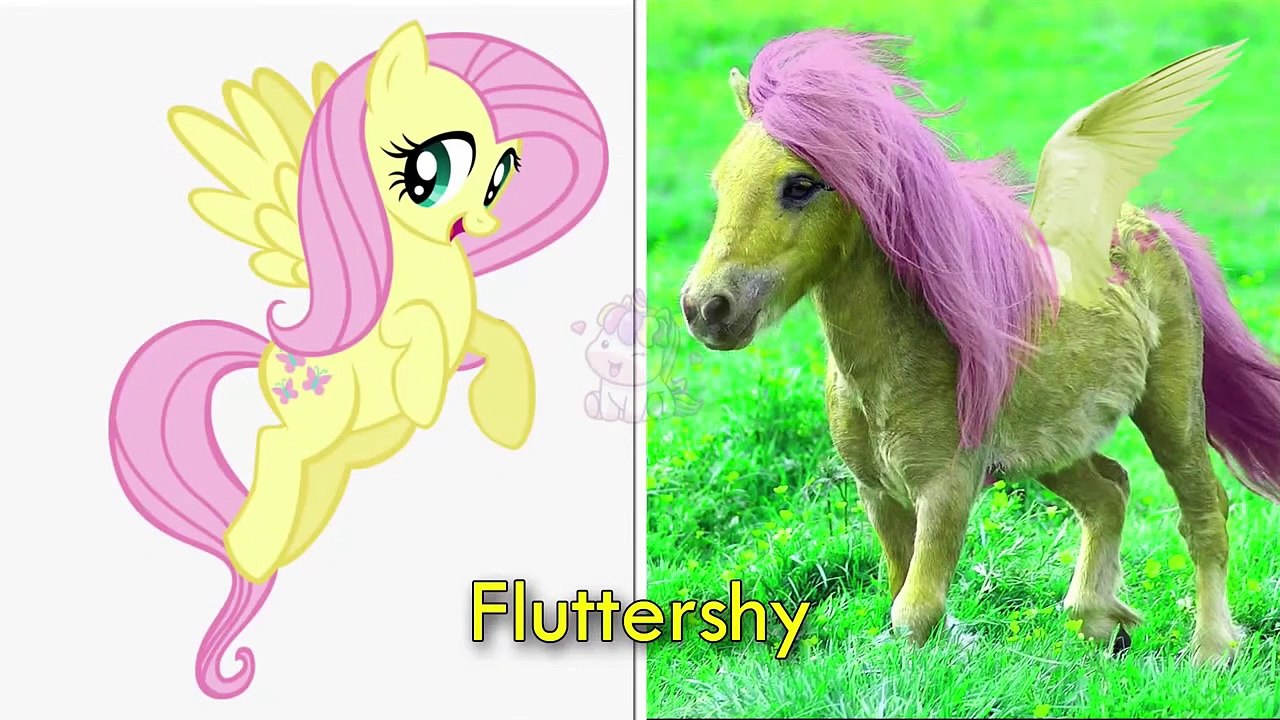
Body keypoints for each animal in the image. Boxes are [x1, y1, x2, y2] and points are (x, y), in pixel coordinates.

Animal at [680, 29, 1278, 667]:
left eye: (800, 185)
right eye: (720, 184)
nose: (706, 308)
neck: (887, 368)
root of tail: (1147, 224)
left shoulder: (945, 489)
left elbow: (914, 612)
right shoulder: (879, 495)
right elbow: (901, 594)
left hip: (1170, 408)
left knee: (1204, 510)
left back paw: (1210, 650)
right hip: (1052, 446)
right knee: (1110, 492)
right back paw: (1099, 622)